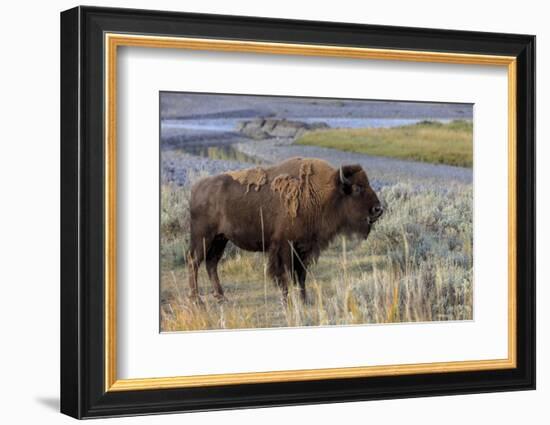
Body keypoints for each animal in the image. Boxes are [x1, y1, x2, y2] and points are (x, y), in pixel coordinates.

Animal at [188, 157, 386, 304]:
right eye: (357, 188)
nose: (378, 209)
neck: (322, 192)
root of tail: (196, 188)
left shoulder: (304, 248)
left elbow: (301, 276)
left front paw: (304, 300)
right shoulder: (285, 247)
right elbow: (286, 274)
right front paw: (287, 300)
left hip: (220, 239)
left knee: (211, 263)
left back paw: (221, 297)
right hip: (203, 237)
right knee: (194, 262)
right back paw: (197, 300)